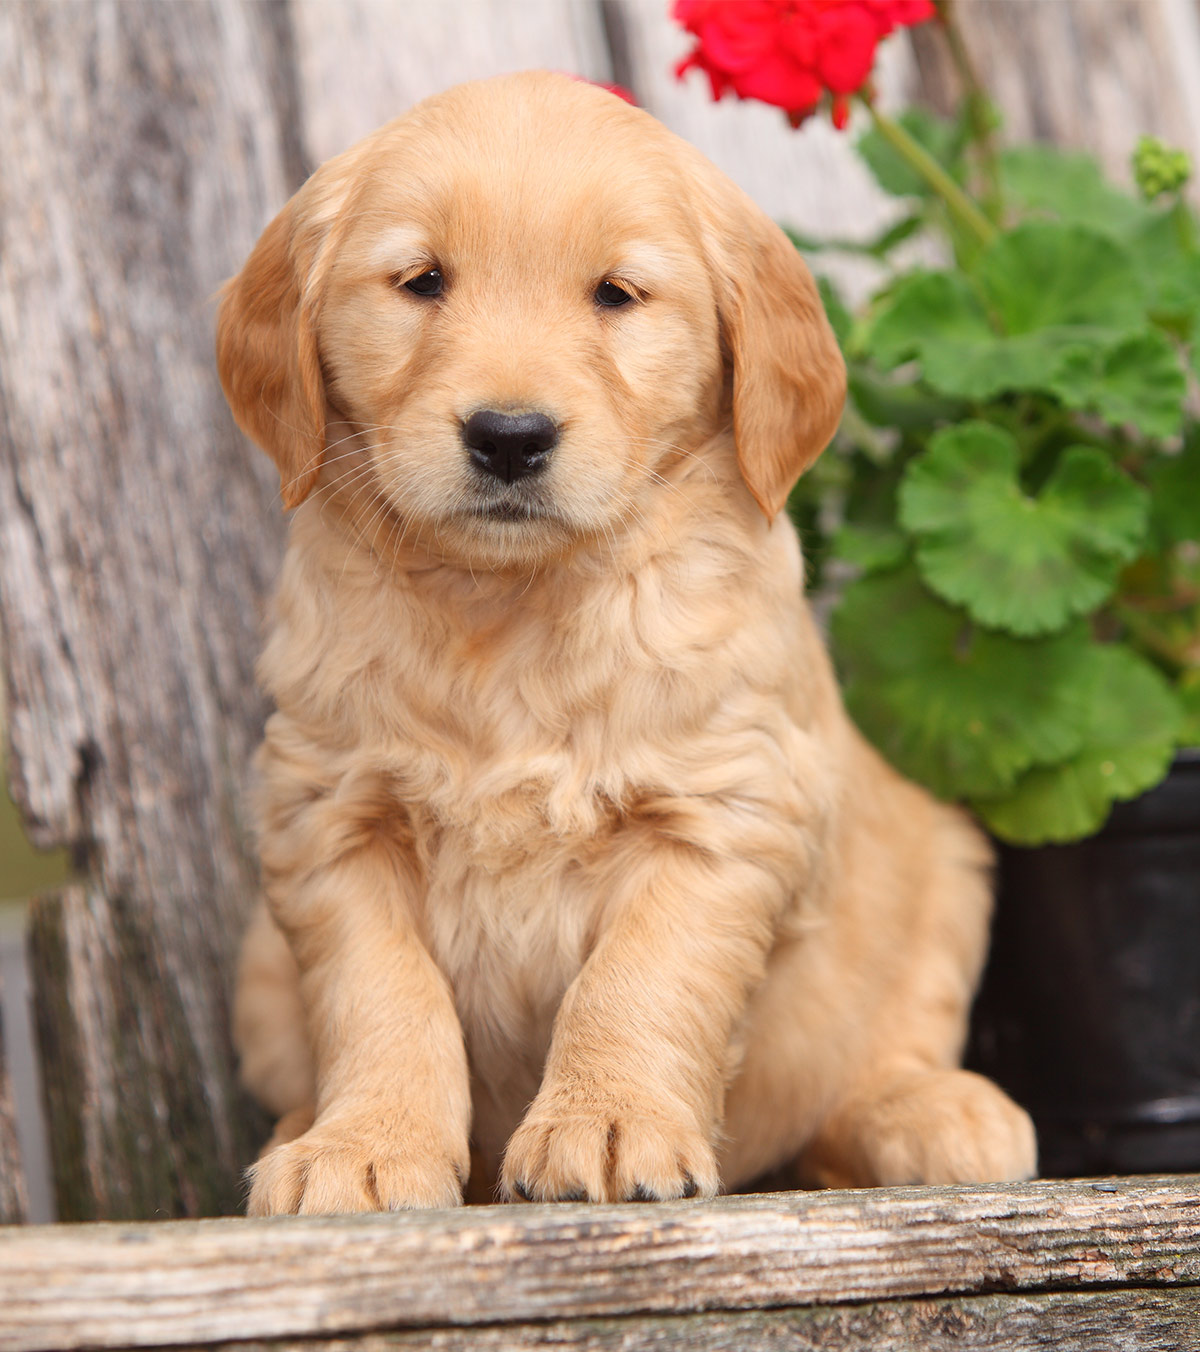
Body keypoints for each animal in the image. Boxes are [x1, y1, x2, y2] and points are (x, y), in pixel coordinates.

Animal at [220, 71, 1037, 1216]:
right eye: (421, 281)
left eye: (616, 294)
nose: (509, 436)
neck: (509, 606)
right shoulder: (331, 818)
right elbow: (382, 996)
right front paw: (364, 1144)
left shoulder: (720, 812)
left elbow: (635, 978)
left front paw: (604, 1123)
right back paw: (300, 1123)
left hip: (945, 877)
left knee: (862, 1074)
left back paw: (933, 1110)